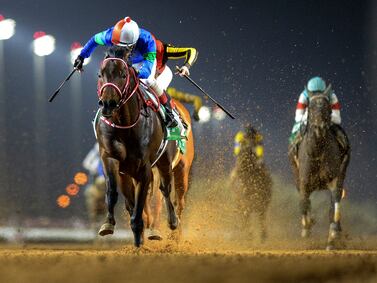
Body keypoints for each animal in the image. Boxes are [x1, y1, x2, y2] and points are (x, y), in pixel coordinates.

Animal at [288, 85, 350, 251]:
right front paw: (307, 228)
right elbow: (304, 203)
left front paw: (333, 234)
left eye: (327, 107)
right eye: (311, 107)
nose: (320, 127)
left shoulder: (334, 178)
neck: (317, 150)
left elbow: (334, 203)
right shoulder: (303, 181)